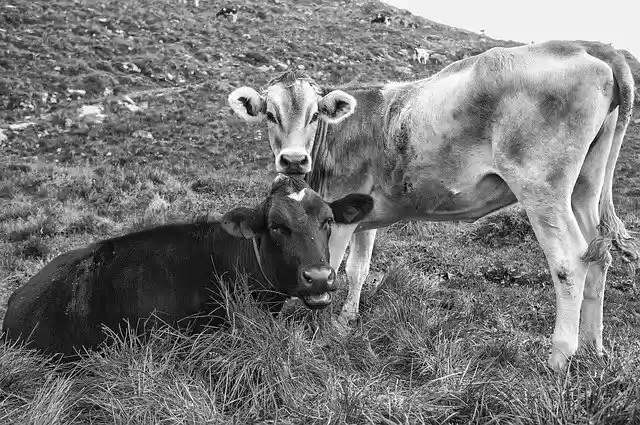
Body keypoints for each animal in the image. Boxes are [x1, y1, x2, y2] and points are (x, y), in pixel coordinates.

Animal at [227, 40, 638, 371]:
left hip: (541, 186)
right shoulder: (364, 214)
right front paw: (347, 322)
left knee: (569, 261)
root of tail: (588, 47)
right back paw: (593, 349)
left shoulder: (336, 214)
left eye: (314, 115)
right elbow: (358, 269)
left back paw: (558, 359)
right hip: (585, 186)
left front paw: (317, 331)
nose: (293, 160)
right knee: (598, 255)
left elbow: (329, 266)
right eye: (270, 114)